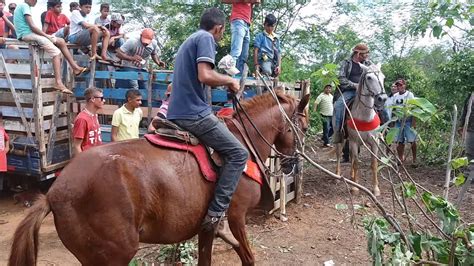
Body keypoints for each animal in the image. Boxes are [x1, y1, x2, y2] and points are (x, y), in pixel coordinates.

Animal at [9, 90, 312, 264]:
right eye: (305, 127)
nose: (292, 164)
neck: (243, 142)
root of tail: (54, 193)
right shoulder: (236, 216)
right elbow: (247, 256)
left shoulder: (207, 229)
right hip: (115, 254)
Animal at [336, 63, 386, 196]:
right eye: (369, 77)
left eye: (383, 77)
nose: (382, 98)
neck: (365, 116)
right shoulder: (354, 141)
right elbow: (356, 164)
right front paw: (355, 188)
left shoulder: (374, 143)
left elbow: (374, 164)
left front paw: (376, 189)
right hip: (342, 139)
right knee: (339, 155)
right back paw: (337, 176)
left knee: (351, 157)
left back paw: (352, 176)